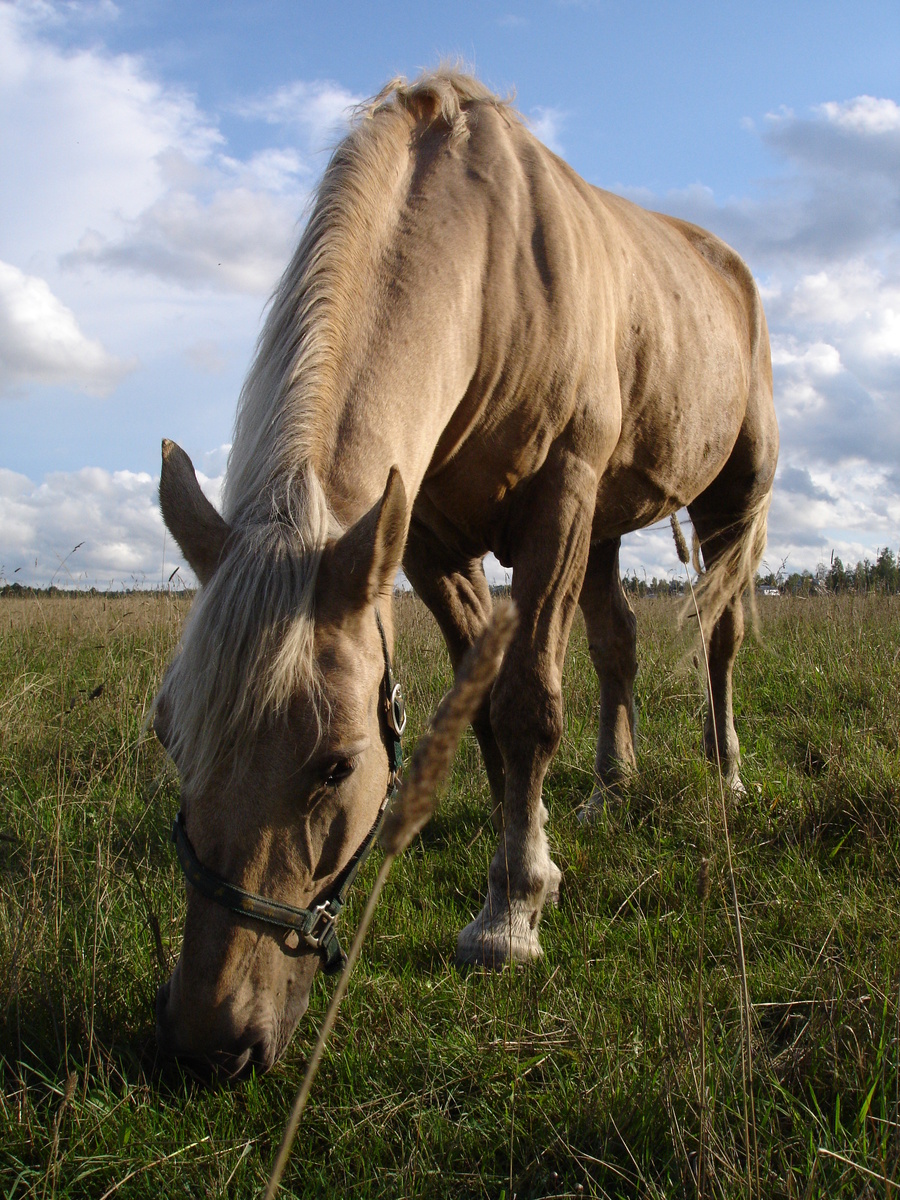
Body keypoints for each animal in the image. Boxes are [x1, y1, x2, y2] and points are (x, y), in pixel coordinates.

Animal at [151, 68, 777, 1080]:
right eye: (171, 737)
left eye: (336, 766)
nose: (207, 1044)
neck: (489, 278)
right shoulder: (432, 540)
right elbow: (483, 712)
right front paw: (530, 853)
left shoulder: (558, 502)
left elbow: (527, 706)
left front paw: (511, 915)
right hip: (607, 529)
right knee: (617, 648)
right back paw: (610, 791)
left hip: (729, 503)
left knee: (719, 642)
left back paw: (726, 777)